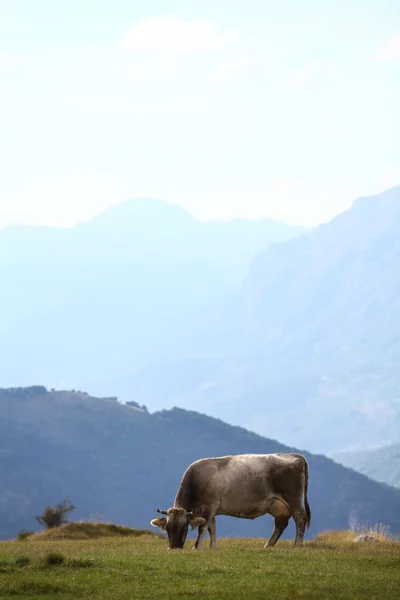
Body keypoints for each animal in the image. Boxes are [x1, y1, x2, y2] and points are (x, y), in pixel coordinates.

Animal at [150, 452, 310, 552]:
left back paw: (297, 544)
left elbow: (203, 528)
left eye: (184, 528)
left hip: (293, 499)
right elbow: (212, 528)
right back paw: (268, 546)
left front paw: (196, 547)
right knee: (280, 524)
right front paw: (213, 547)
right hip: (278, 505)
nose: (174, 548)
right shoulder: (212, 510)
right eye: (167, 528)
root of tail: (294, 455)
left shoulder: (210, 507)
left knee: (300, 518)